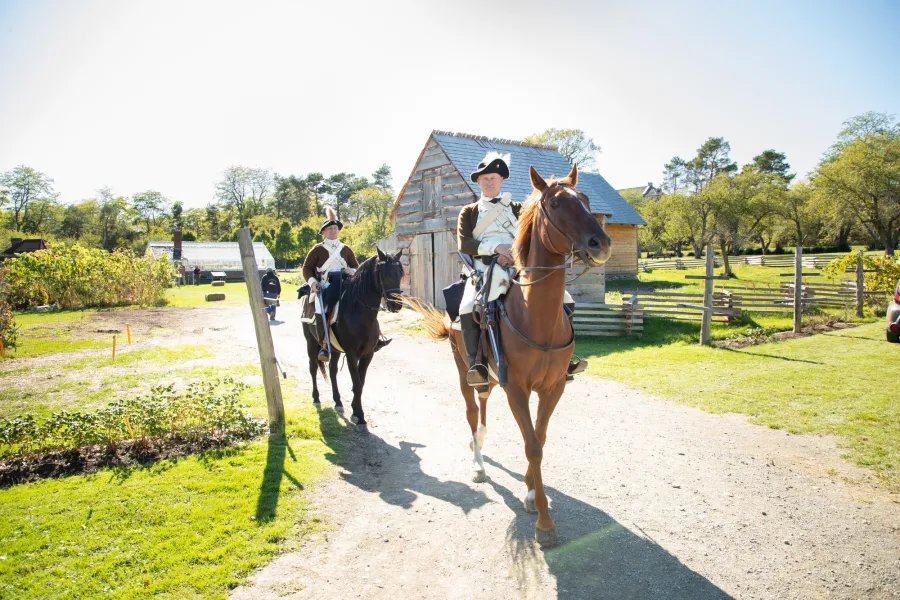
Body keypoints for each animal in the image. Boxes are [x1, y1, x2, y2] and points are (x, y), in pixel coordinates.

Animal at [303, 247, 404, 432]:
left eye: (400, 273)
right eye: (385, 274)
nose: (396, 305)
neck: (358, 312)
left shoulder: (368, 355)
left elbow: (360, 384)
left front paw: (355, 410)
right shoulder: (351, 355)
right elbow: (356, 384)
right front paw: (361, 417)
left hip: (335, 350)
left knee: (332, 371)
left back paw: (338, 402)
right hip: (311, 343)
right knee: (313, 368)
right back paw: (316, 398)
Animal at [406, 164, 611, 546]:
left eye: (586, 199)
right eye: (556, 203)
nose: (601, 243)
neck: (536, 316)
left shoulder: (552, 388)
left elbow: (539, 440)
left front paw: (531, 493)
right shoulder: (517, 389)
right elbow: (531, 446)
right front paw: (544, 521)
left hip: (491, 377)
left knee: (484, 405)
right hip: (463, 369)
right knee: (472, 412)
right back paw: (477, 464)